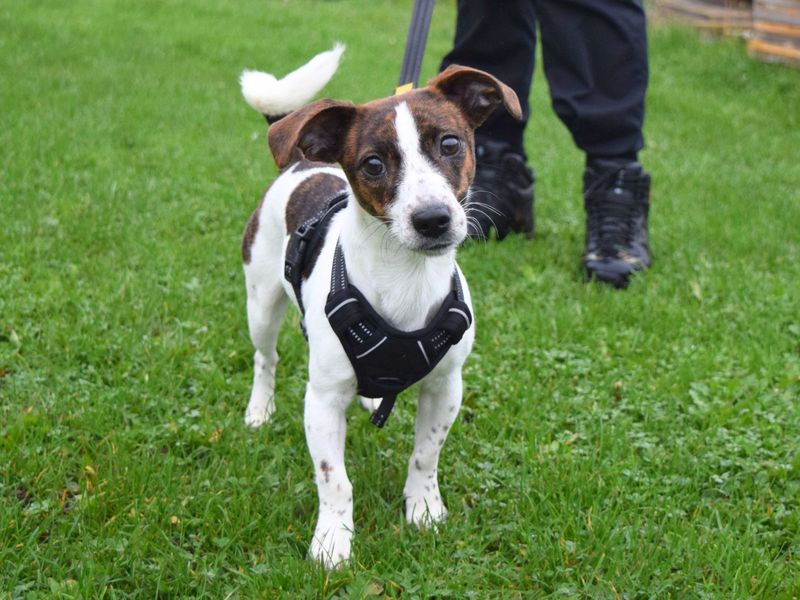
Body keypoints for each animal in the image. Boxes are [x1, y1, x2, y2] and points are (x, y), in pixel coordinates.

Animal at [238, 43, 520, 568]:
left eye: (450, 144)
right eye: (372, 164)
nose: (433, 219)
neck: (406, 277)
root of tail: (299, 162)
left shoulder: (446, 386)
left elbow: (426, 455)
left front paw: (423, 508)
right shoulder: (322, 400)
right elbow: (334, 478)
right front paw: (333, 540)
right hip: (261, 304)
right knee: (266, 358)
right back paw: (259, 410)